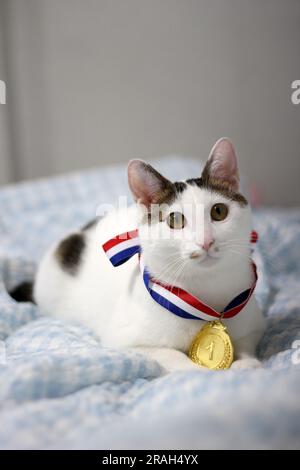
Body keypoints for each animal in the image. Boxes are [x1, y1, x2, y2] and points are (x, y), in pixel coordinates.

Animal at [11, 138, 264, 372]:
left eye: (219, 211)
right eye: (175, 220)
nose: (206, 241)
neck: (207, 294)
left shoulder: (253, 324)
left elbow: (245, 343)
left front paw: (247, 364)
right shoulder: (123, 341)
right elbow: (175, 357)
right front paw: (202, 372)